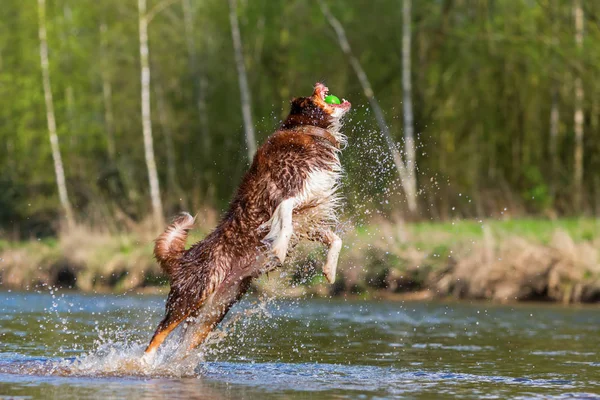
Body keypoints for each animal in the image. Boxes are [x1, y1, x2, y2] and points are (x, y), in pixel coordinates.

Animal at [142, 82, 350, 362]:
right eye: (311, 93)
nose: (319, 83)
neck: (308, 130)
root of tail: (183, 256)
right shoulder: (285, 194)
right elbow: (284, 217)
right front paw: (280, 249)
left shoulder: (308, 213)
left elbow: (335, 239)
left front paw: (329, 270)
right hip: (195, 293)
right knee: (159, 334)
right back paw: (143, 363)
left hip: (215, 310)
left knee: (184, 343)